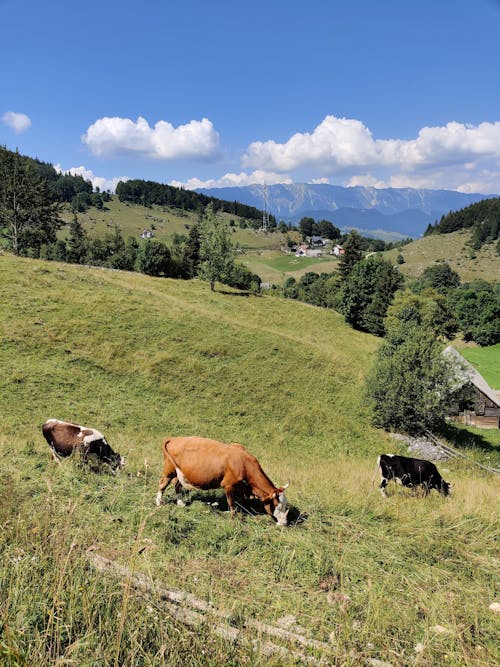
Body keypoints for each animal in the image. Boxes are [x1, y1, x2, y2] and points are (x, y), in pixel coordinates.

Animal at [155, 438, 290, 528]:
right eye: (276, 506)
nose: (284, 523)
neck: (244, 463)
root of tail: (175, 438)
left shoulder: (240, 487)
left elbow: (241, 501)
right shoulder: (228, 485)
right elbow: (231, 502)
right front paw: (233, 518)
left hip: (180, 473)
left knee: (177, 486)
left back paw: (180, 503)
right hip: (169, 470)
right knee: (162, 484)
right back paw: (158, 503)